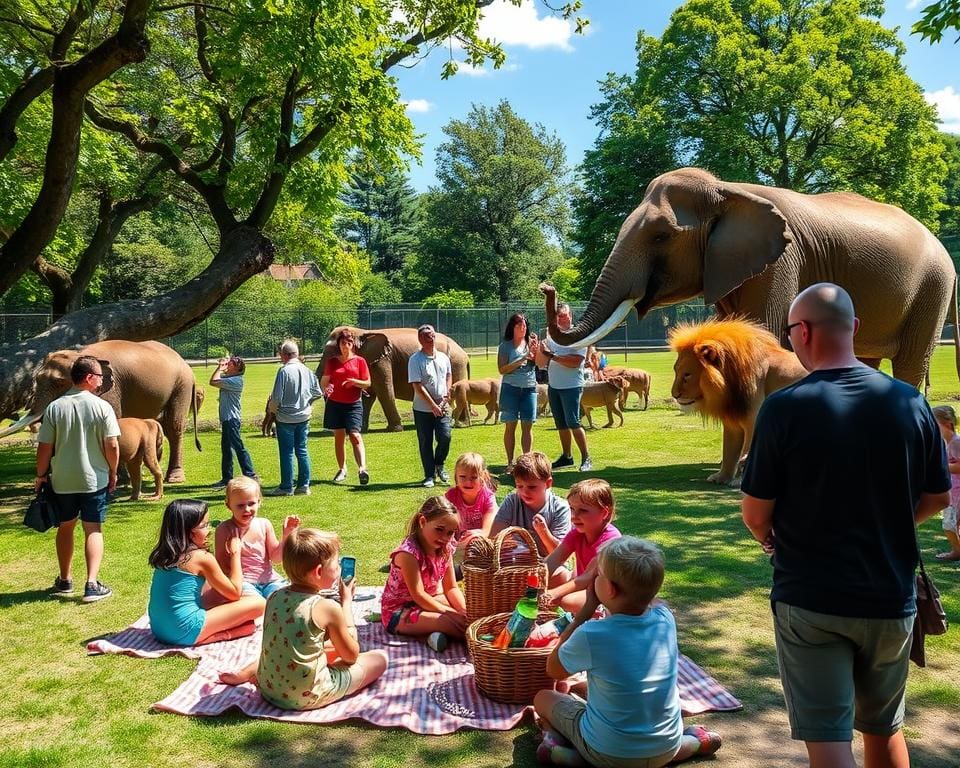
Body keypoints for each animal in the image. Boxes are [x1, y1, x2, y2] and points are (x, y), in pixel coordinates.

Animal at [318, 326, 468, 432]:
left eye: (333, 352)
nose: (328, 430)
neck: (361, 332)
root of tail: (464, 354)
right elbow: (368, 396)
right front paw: (360, 429)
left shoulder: (382, 361)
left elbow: (384, 390)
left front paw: (394, 429)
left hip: (456, 365)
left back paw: (461, 423)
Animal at [544, 165, 956, 388]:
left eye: (661, 236)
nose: (547, 287)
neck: (727, 189)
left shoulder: (782, 262)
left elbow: (763, 331)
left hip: (933, 288)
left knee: (911, 363)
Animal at [668, 316, 808, 486]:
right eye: (676, 371)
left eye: (687, 374)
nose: (674, 394)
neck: (730, 384)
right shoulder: (732, 424)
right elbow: (729, 452)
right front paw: (722, 477)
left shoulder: (753, 420)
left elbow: (748, 451)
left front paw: (740, 480)